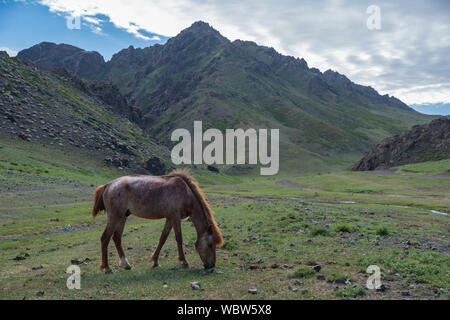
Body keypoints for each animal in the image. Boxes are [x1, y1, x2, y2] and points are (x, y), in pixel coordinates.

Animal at [92, 169, 223, 274]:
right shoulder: (175, 217)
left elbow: (163, 238)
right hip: (114, 217)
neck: (186, 193)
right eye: (210, 244)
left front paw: (155, 261)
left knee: (117, 238)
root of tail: (108, 185)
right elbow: (179, 238)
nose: (211, 267)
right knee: (105, 238)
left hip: (122, 217)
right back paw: (107, 268)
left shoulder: (170, 218)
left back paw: (126, 264)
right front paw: (184, 261)